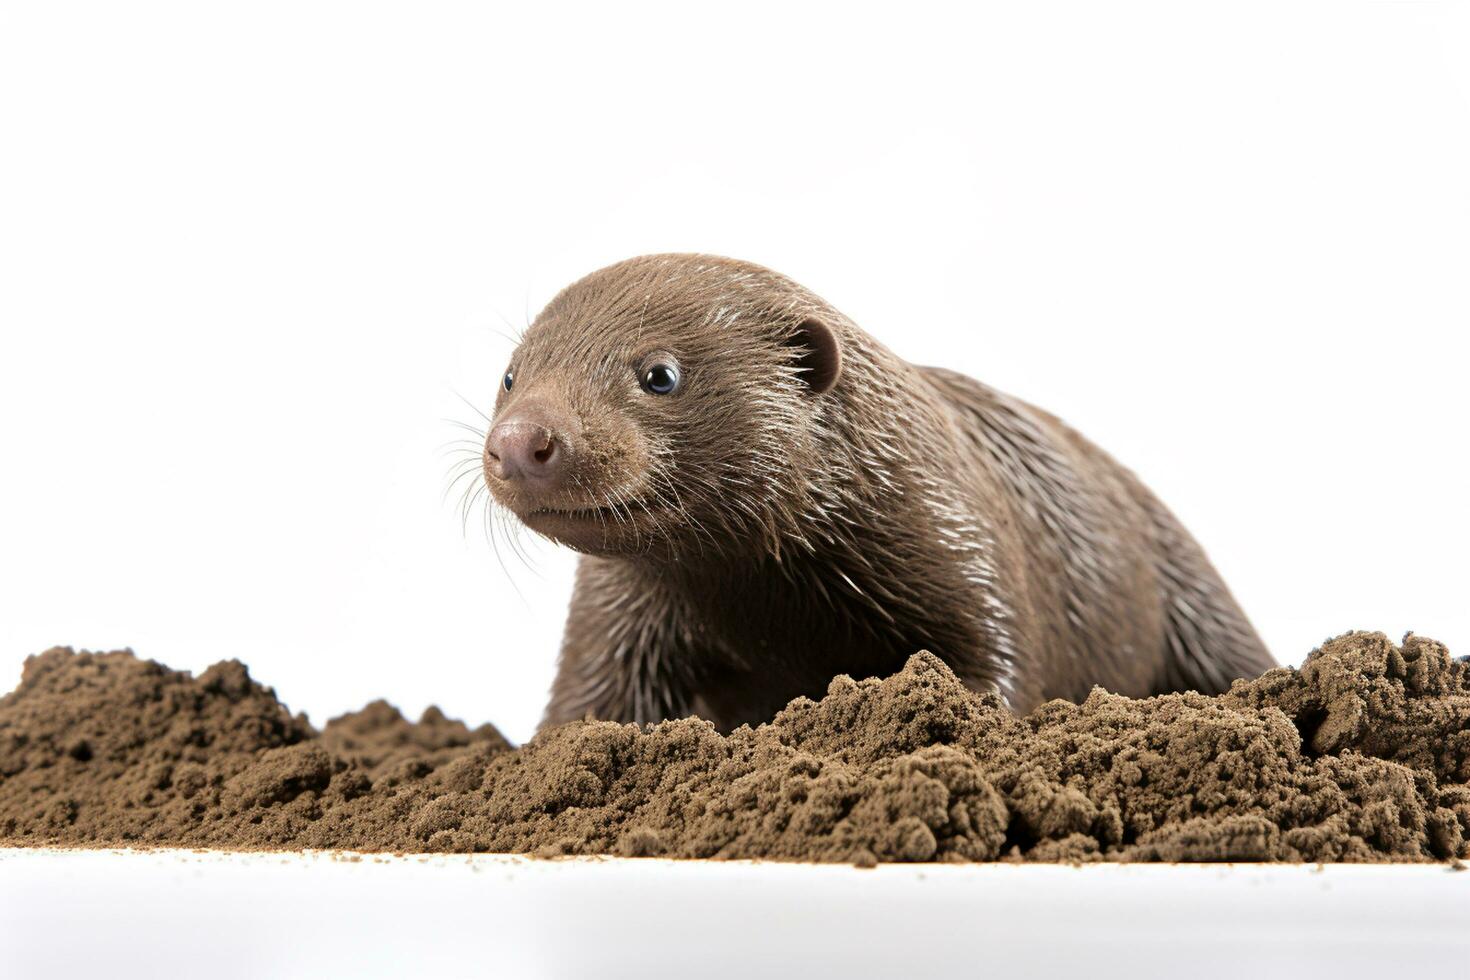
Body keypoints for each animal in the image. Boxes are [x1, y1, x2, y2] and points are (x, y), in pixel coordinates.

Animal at [482, 252, 1275, 728]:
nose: (521, 441)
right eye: (511, 374)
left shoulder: (966, 553)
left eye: (660, 374)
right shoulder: (620, 614)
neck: (773, 618)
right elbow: (588, 707)